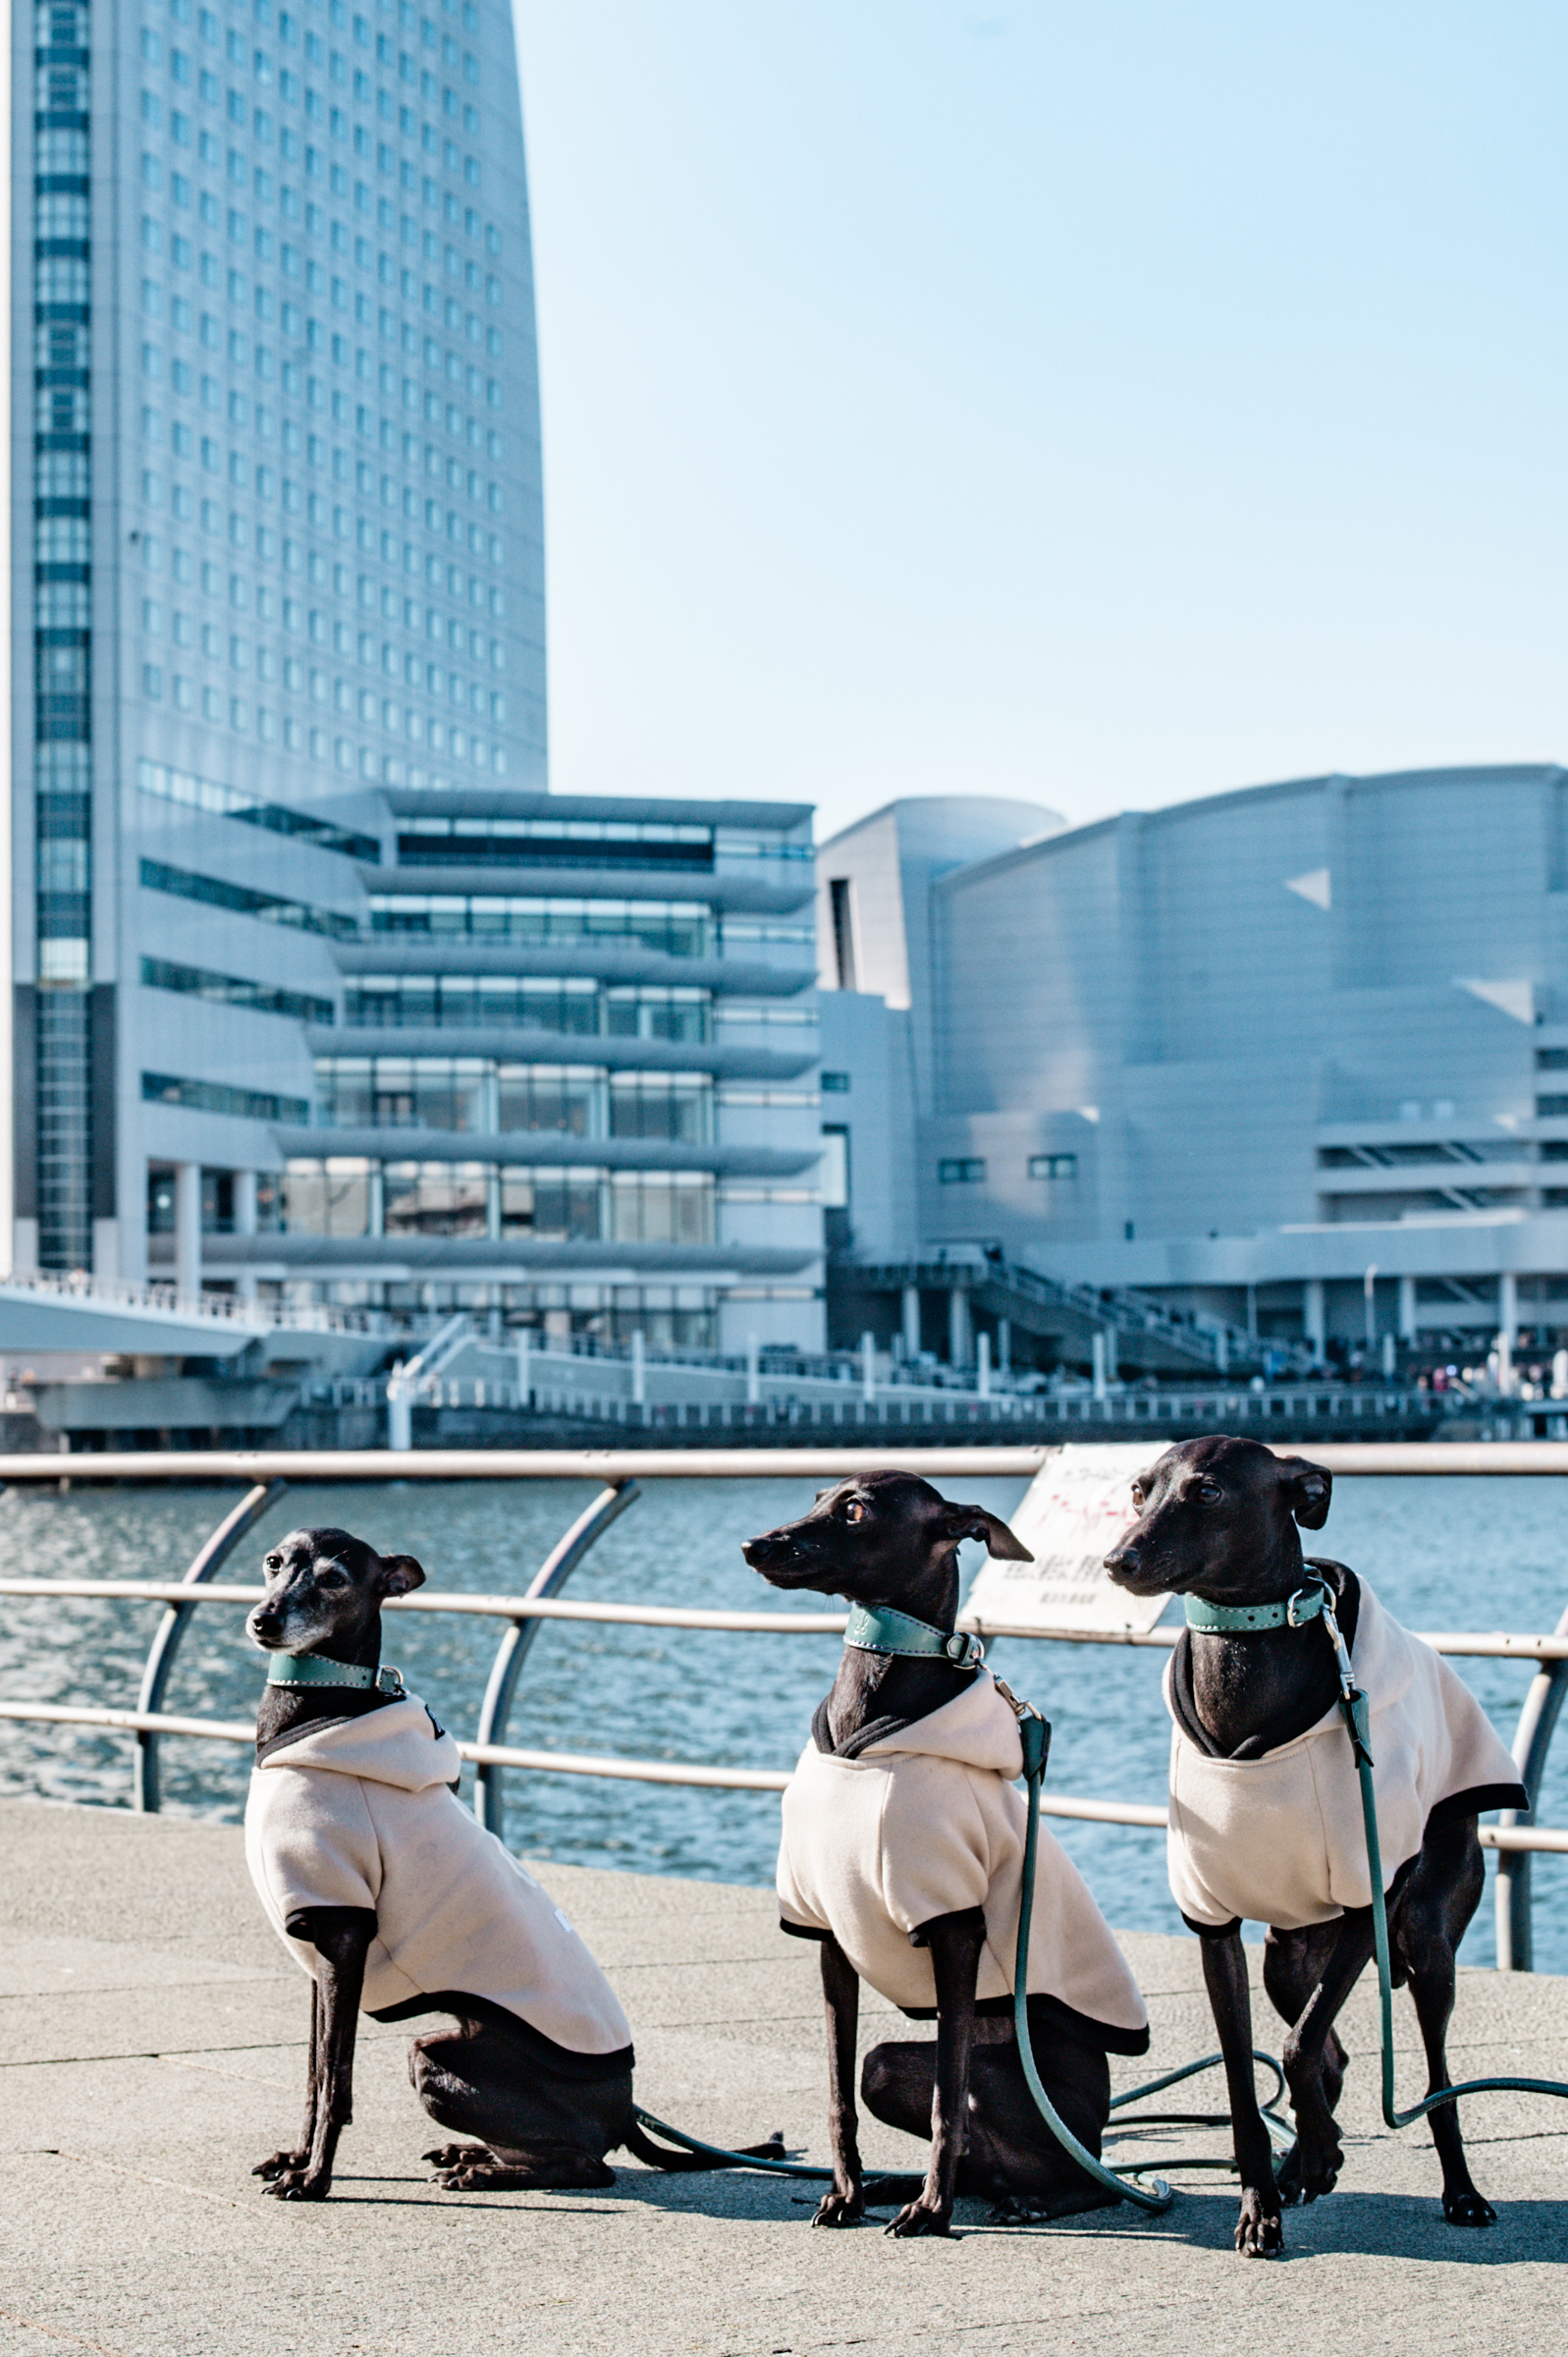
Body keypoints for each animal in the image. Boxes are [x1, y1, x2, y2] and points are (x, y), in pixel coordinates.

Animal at [244, 1525, 773, 2199]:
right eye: (274, 1562)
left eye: (335, 1579)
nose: (264, 1620)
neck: (316, 1715)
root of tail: (626, 2110)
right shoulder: (320, 1954)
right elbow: (313, 2074)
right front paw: (295, 2156)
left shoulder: (342, 1930)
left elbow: (335, 2078)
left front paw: (314, 2177)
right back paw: (471, 2155)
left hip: (432, 2054)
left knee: (589, 2166)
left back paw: (481, 2171)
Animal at [744, 1470, 1150, 2237]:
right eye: (817, 1497)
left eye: (855, 1509)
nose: (755, 1544)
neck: (865, 1732)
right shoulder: (826, 1930)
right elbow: (837, 2088)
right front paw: (845, 2193)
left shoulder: (953, 1923)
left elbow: (946, 2100)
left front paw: (930, 2210)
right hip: (887, 2065)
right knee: (951, 2130)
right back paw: (903, 2185)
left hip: (1025, 2089)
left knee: (1086, 2174)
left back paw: (1022, 2198)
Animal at [1105, 1436, 1528, 2256]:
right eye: (1140, 1489)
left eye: (1206, 1492)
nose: (1117, 1559)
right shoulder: (1214, 1925)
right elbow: (1250, 2074)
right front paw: (1261, 2202)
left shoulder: (1372, 1898)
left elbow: (1297, 2049)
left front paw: (1317, 2157)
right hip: (1290, 1954)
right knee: (1329, 2047)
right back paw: (1302, 2158)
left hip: (1423, 1937)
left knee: (1428, 2075)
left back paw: (1458, 2191)